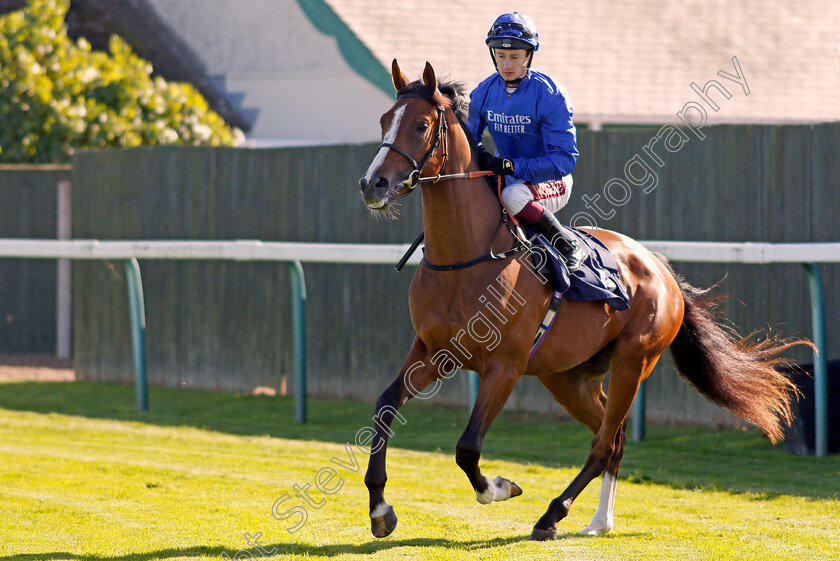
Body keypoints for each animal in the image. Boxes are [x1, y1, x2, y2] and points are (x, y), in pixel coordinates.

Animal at [354, 59, 808, 540]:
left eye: (421, 125)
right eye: (384, 120)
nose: (372, 184)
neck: (465, 258)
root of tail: (662, 269)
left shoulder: (505, 367)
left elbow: (467, 447)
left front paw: (500, 487)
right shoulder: (432, 350)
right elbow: (385, 407)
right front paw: (380, 508)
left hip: (633, 362)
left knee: (603, 443)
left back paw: (554, 514)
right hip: (568, 378)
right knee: (614, 439)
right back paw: (599, 521)